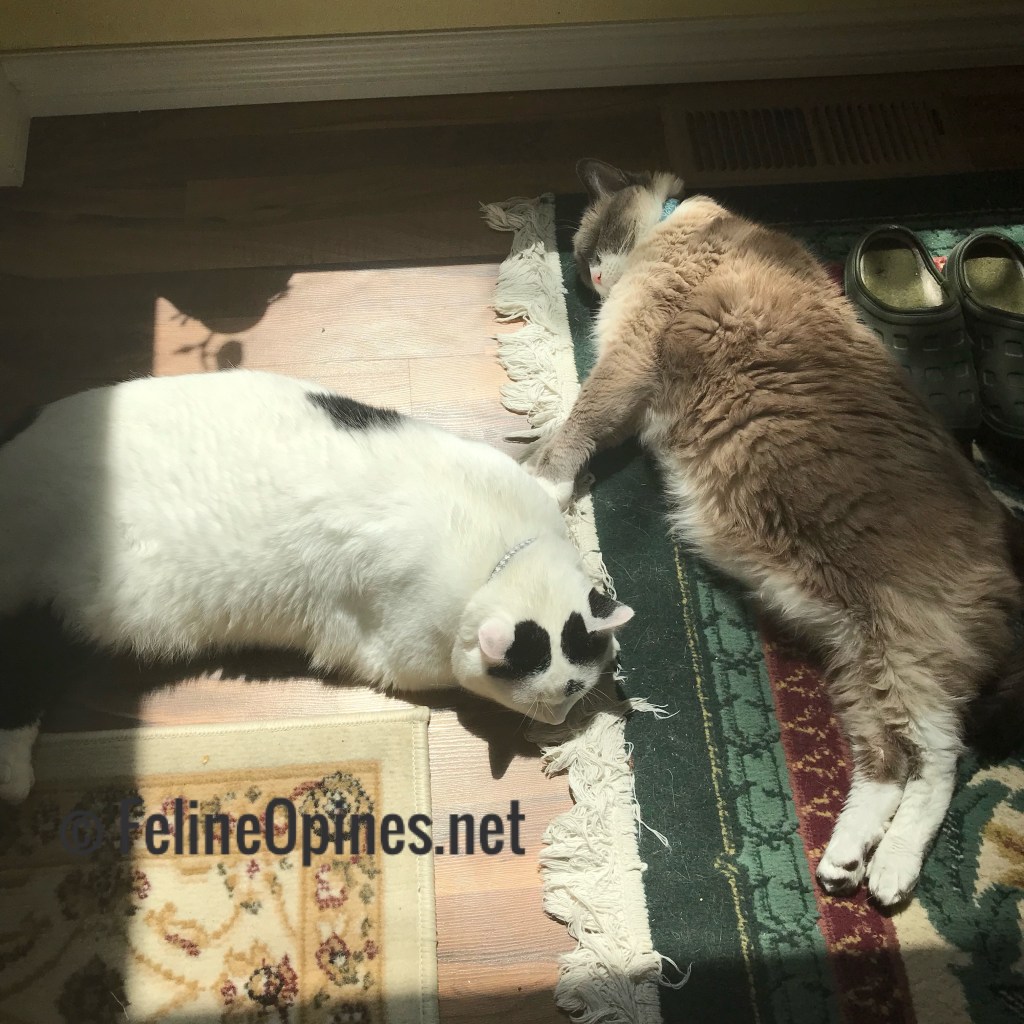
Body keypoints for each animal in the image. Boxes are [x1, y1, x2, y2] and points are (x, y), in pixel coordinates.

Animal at [0, 369, 633, 803]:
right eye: (550, 699)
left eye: (577, 689)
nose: (558, 719)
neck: (499, 556)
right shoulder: (399, 654)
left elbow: (547, 480)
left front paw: (568, 473)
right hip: (58, 613)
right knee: (21, 678)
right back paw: (13, 776)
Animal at [524, 157, 1024, 906]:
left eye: (585, 254)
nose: (592, 281)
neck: (671, 226)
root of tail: (1006, 533)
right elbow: (573, 432)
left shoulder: (628, 359)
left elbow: (575, 430)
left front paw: (536, 478)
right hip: (857, 654)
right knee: (888, 762)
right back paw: (846, 860)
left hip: (905, 651)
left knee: (938, 760)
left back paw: (890, 873)